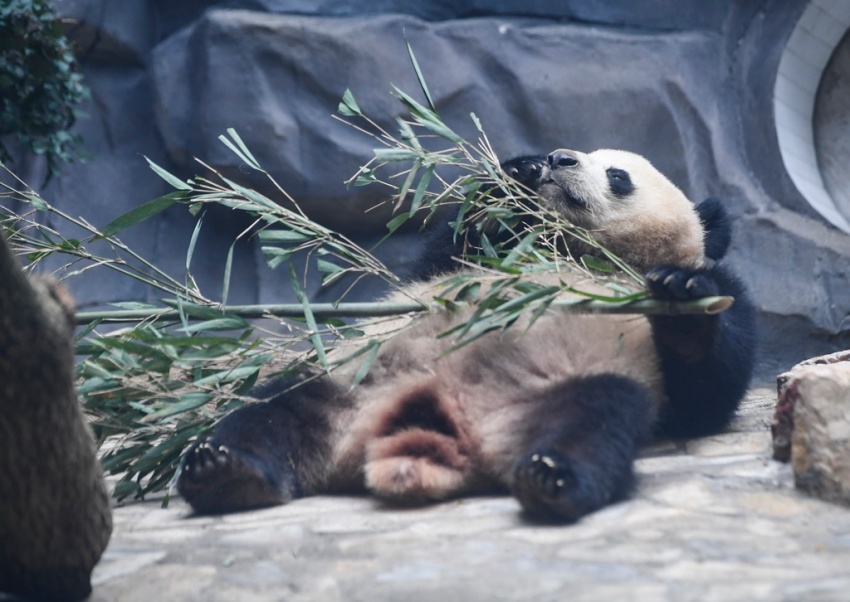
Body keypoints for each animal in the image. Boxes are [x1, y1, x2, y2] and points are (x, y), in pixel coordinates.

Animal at [177, 148, 756, 516]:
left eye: (618, 174)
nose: (561, 159)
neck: (572, 251)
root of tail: (424, 427)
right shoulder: (461, 264)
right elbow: (451, 245)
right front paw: (518, 172)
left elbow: (707, 389)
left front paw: (680, 293)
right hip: (353, 381)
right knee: (275, 409)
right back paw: (225, 472)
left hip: (559, 387)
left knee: (598, 417)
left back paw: (552, 478)